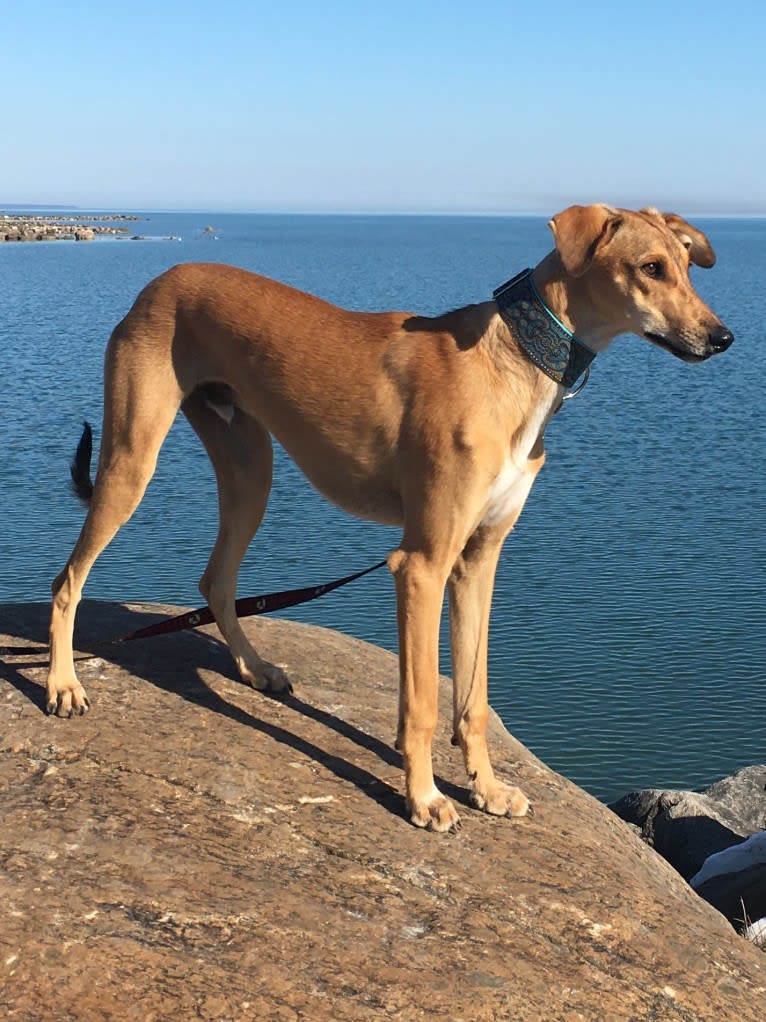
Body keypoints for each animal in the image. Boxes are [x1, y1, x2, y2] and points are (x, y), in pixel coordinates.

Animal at [46, 205, 731, 829]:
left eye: (686, 266)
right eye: (650, 267)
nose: (722, 338)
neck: (512, 361)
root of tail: (163, 277)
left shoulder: (477, 561)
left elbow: (473, 696)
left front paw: (486, 789)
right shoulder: (421, 564)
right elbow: (423, 701)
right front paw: (424, 798)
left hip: (250, 473)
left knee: (216, 582)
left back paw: (254, 668)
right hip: (132, 461)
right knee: (66, 582)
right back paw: (61, 685)